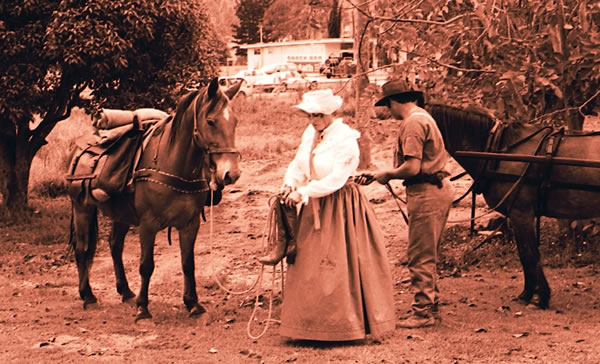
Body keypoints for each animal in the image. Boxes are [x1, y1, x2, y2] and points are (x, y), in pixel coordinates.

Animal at [67, 78, 241, 320]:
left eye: (234, 121)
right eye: (210, 121)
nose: (231, 173)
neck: (174, 164)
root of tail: (77, 148)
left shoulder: (190, 224)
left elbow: (188, 263)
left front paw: (193, 304)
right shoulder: (148, 225)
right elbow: (146, 265)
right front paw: (143, 308)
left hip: (121, 214)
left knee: (115, 245)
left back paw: (126, 292)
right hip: (82, 208)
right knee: (83, 248)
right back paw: (88, 295)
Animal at [426, 103, 600, 310]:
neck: (496, 150)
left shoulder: (521, 214)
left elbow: (529, 254)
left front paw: (538, 296)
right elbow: (526, 255)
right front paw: (530, 293)